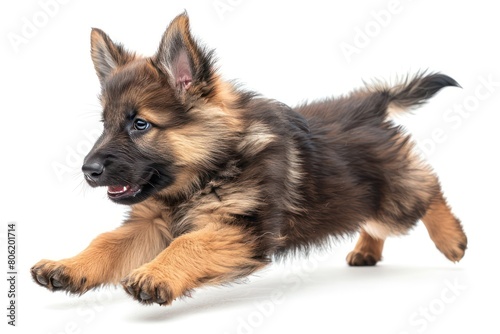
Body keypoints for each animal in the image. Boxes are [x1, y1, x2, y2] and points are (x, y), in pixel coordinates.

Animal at [31, 12, 466, 306]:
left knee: (427, 187)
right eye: (105, 124)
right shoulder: (151, 223)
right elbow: (107, 242)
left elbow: (187, 244)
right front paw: (69, 266)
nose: (87, 171)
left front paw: (155, 274)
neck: (207, 171)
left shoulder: (241, 228)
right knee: (379, 216)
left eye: (140, 124)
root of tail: (370, 103)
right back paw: (367, 251)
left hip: (394, 197)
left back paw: (451, 240)